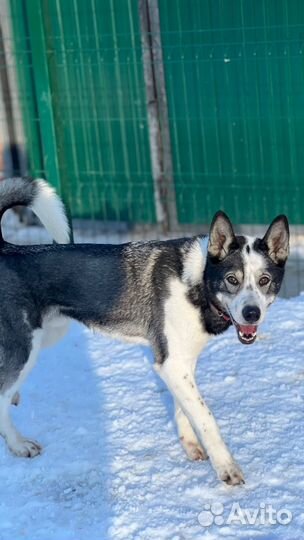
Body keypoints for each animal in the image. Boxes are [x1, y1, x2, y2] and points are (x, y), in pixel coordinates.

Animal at [0, 177, 290, 486]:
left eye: (264, 280)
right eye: (232, 280)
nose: (252, 313)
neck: (198, 282)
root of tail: (7, 248)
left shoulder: (180, 363)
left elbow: (185, 409)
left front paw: (190, 446)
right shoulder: (172, 364)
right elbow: (206, 417)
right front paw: (227, 468)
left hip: (48, 334)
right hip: (26, 346)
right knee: (1, 395)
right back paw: (18, 444)